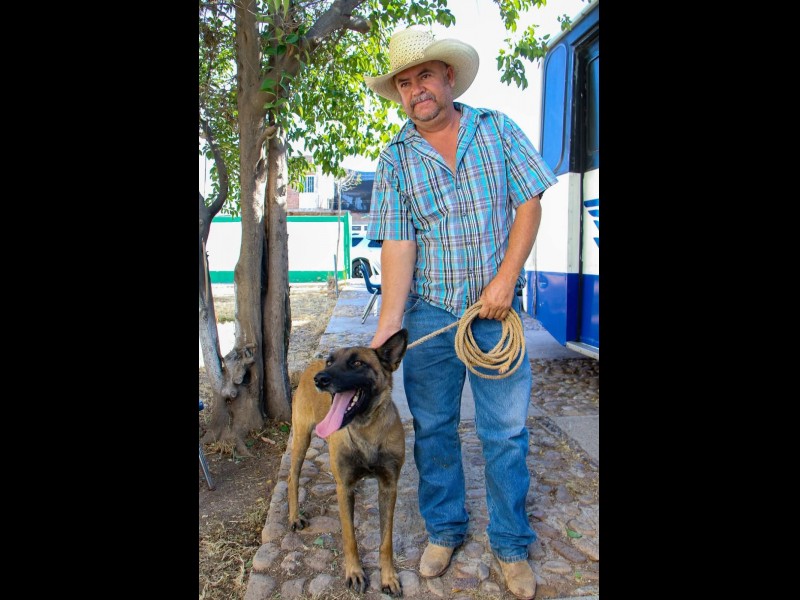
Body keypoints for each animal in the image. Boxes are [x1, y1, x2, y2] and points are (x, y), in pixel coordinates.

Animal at [288, 329, 408, 595]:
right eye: (330, 362)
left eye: (357, 363)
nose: (320, 379)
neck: (366, 430)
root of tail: (310, 366)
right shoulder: (344, 487)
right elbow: (349, 537)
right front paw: (354, 572)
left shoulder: (389, 487)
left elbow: (386, 541)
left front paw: (388, 576)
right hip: (301, 438)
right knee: (292, 477)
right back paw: (294, 517)